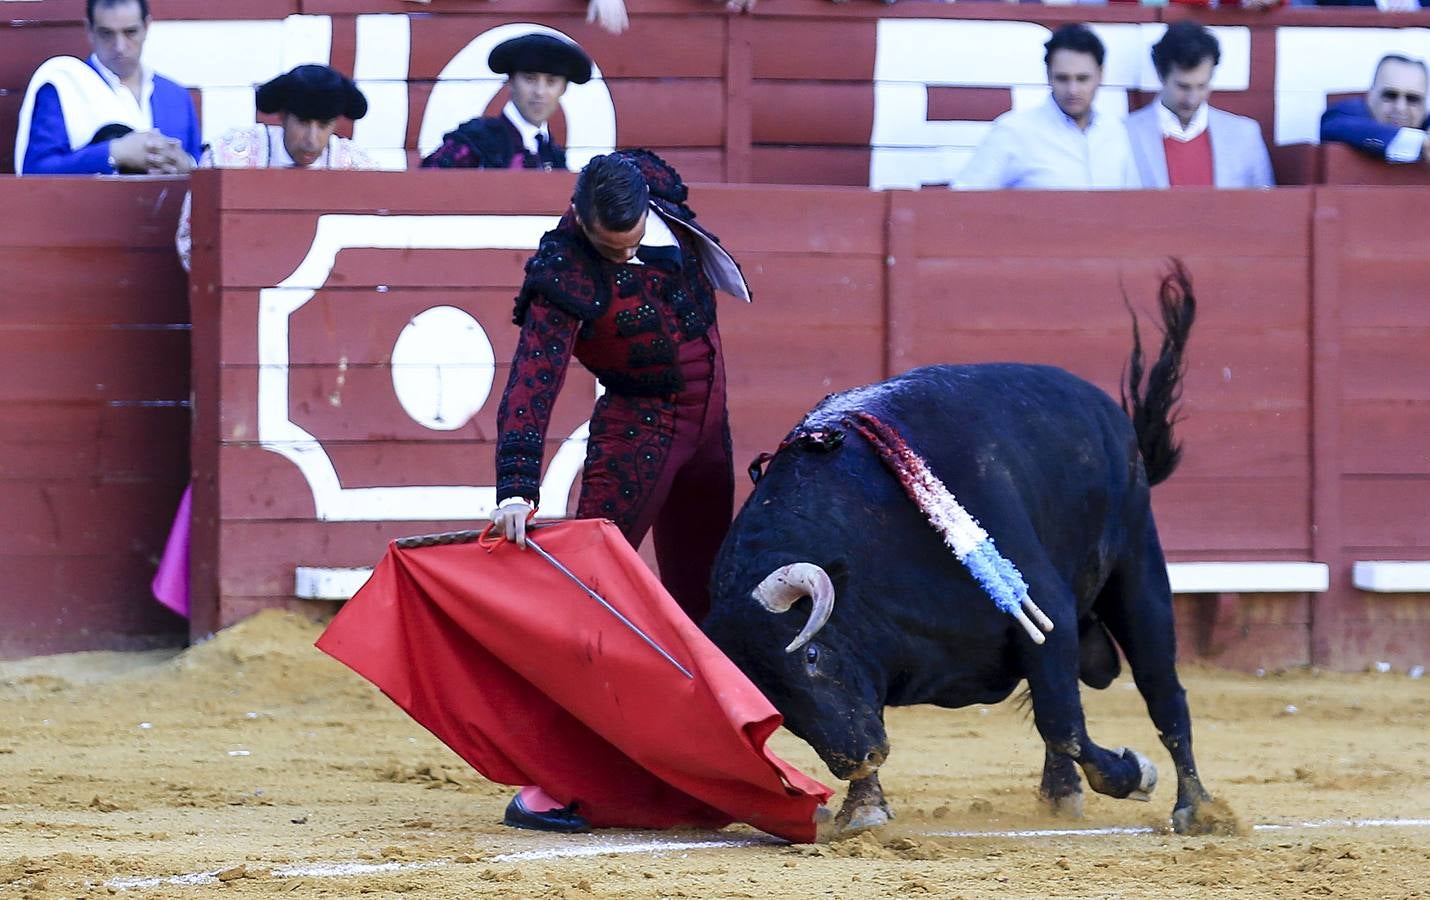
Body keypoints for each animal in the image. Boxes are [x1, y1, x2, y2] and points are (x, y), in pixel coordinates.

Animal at [703, 264, 1229, 835]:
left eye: (813, 654)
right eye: (768, 694)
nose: (859, 757)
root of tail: (1112, 416)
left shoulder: (1046, 611)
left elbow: (1062, 721)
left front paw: (1134, 774)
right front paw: (864, 806)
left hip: (1137, 566)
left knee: (1162, 692)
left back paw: (1197, 808)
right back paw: (1061, 796)